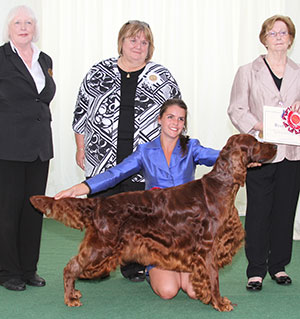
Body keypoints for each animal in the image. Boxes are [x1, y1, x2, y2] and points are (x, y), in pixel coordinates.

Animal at [30, 135, 276, 312]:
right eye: (256, 143)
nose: (275, 146)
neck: (221, 186)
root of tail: (100, 202)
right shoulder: (208, 247)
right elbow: (214, 279)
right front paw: (219, 302)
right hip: (102, 245)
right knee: (71, 267)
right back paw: (70, 297)